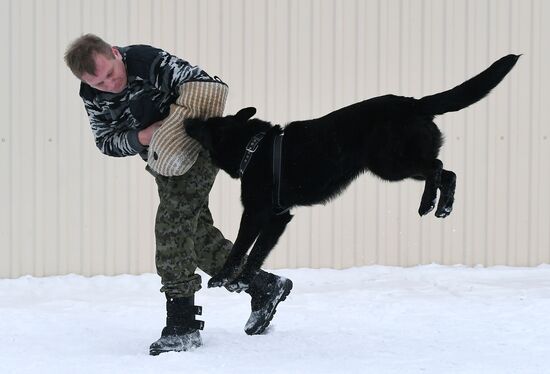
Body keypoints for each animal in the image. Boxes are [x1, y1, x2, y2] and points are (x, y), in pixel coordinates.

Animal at [185, 54, 520, 290]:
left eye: (205, 126)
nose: (187, 121)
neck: (254, 147)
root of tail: (415, 104)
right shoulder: (279, 218)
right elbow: (257, 252)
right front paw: (242, 280)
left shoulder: (257, 213)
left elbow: (243, 248)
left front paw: (226, 279)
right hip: (395, 166)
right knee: (446, 172)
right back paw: (438, 207)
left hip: (390, 165)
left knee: (438, 169)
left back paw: (430, 204)